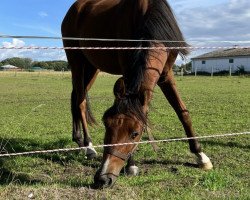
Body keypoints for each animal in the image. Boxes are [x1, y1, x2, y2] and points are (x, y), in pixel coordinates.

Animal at [61, 0, 212, 188]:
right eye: (106, 126)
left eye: (135, 133)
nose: (102, 178)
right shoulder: (128, 69)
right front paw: (131, 165)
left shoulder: (166, 74)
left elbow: (182, 112)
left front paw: (200, 155)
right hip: (76, 61)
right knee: (80, 101)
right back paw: (88, 146)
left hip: (91, 67)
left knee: (75, 97)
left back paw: (79, 140)